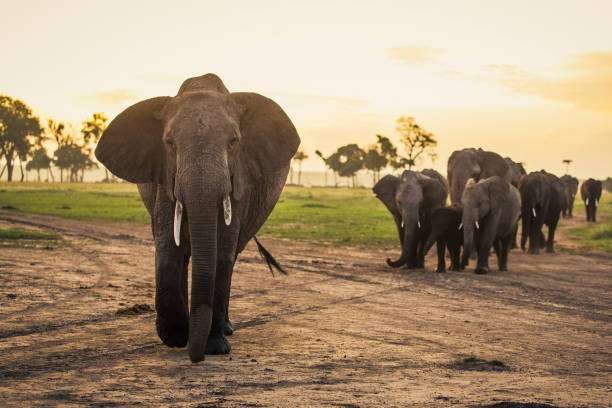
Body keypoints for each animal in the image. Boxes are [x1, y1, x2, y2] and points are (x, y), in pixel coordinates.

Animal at [94, 74, 302, 364]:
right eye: (169, 144)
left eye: (234, 142)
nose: (197, 356)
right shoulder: (165, 176)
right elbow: (168, 246)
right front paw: (177, 337)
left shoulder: (240, 180)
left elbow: (221, 250)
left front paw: (215, 347)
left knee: (230, 257)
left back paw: (226, 328)